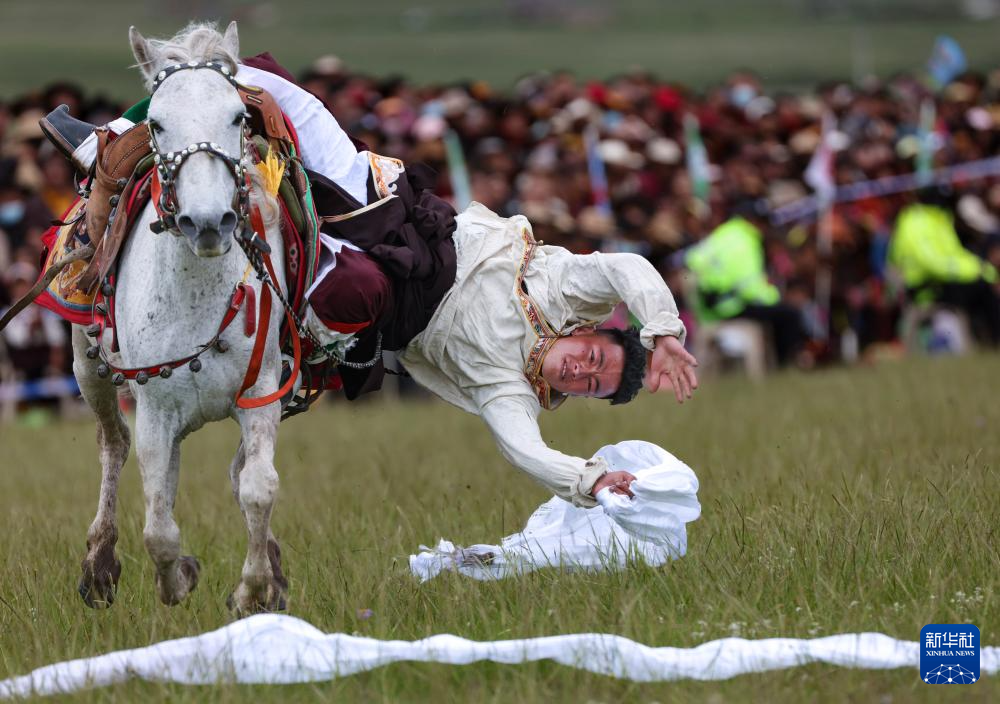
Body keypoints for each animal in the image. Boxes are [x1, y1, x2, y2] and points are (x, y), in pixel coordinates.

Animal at [69, 23, 290, 616]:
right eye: (157, 122)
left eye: (238, 117)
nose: (209, 222)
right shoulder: (155, 407)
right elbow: (158, 527)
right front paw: (180, 579)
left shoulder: (261, 393)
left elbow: (257, 487)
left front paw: (254, 588)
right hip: (88, 369)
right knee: (114, 446)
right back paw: (99, 566)